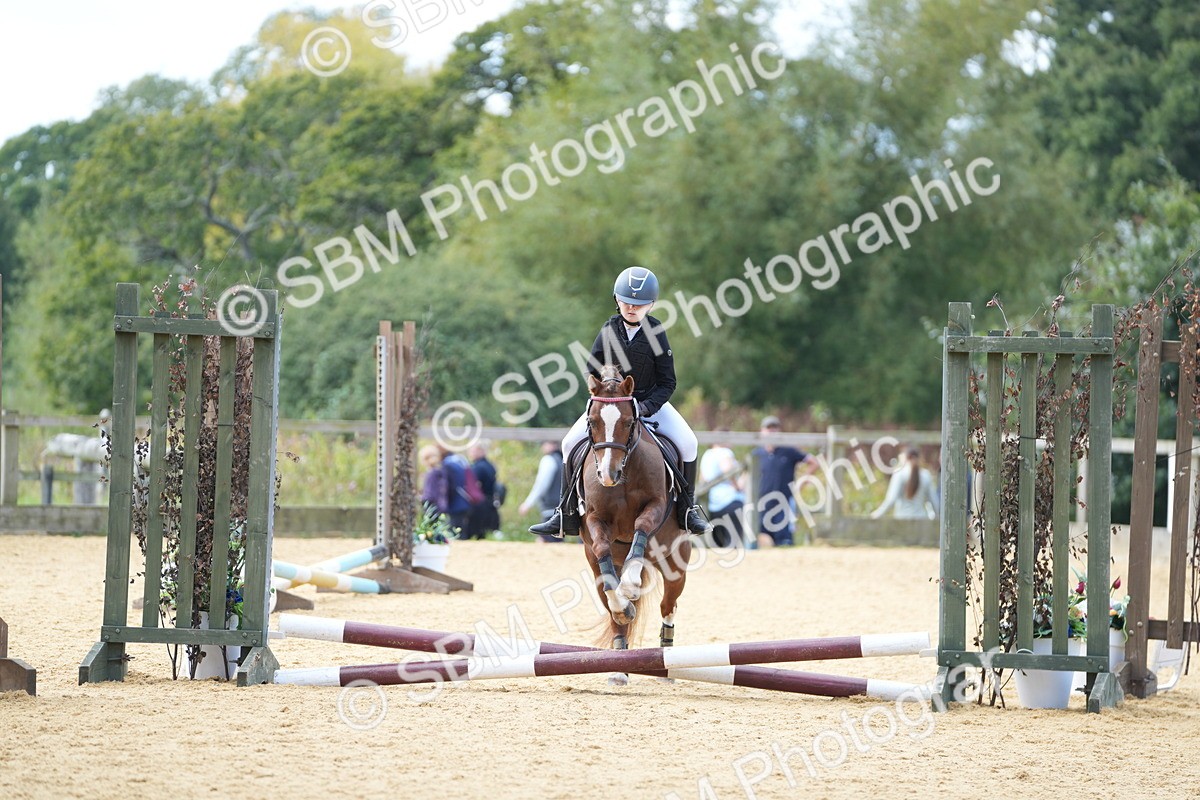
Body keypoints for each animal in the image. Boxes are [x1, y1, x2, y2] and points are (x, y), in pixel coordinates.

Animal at [577, 365, 691, 684]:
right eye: (592, 422)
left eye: (629, 422)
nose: (608, 474)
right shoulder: (595, 519)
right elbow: (602, 548)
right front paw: (624, 602)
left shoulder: (655, 506)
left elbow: (641, 527)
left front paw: (629, 583)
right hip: (596, 569)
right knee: (611, 603)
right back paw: (619, 663)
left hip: (676, 564)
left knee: (668, 605)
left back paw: (666, 662)